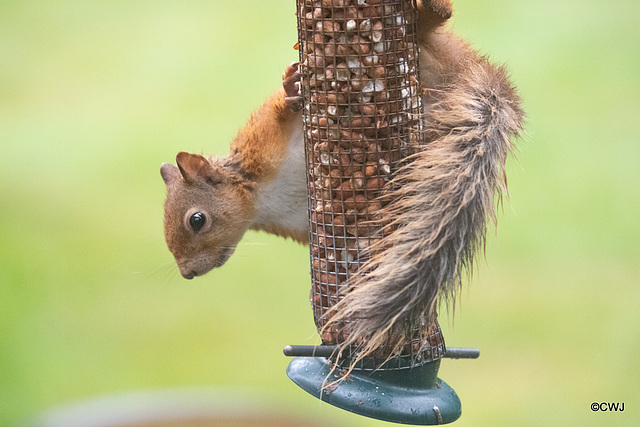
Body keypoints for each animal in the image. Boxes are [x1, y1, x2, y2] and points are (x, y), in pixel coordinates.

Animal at [159, 1, 520, 358]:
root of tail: (469, 67)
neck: (262, 200)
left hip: (435, 51)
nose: (188, 273)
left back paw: (429, 9)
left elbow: (279, 112)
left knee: (434, 25)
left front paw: (291, 89)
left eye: (196, 220)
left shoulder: (260, 145)